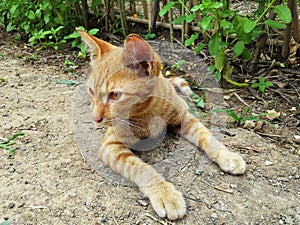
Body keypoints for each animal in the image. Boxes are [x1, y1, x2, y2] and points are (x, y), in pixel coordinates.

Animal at [76, 27, 245, 220]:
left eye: (115, 95)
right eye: (91, 91)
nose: (95, 118)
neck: (149, 111)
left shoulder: (185, 118)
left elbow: (206, 135)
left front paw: (227, 155)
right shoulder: (111, 145)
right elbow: (141, 168)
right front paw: (165, 194)